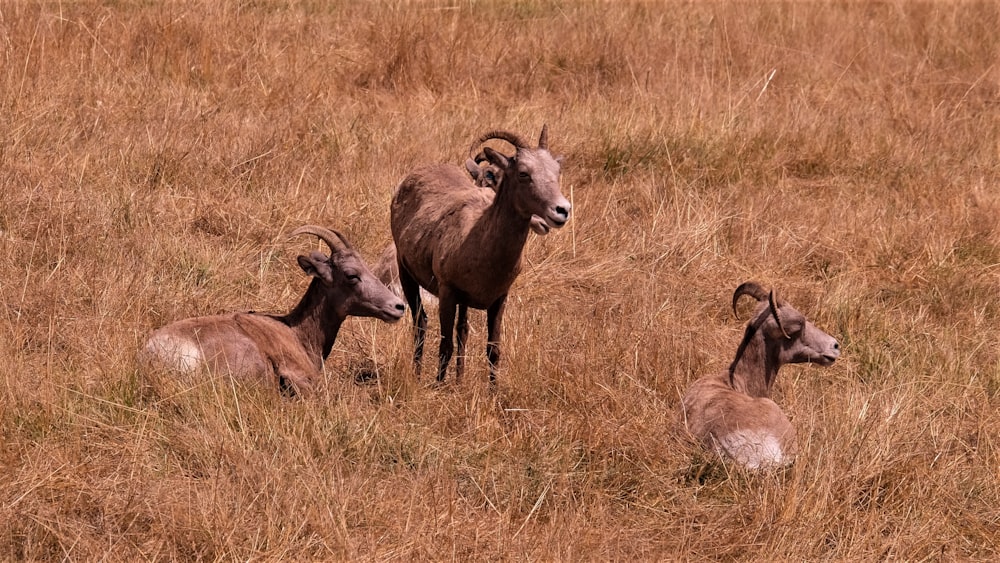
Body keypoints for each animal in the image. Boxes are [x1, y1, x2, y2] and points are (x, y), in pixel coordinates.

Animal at [390, 126, 572, 384]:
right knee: (420, 323)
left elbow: (492, 350)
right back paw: (417, 376)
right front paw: (438, 385)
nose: (562, 210)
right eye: (523, 173)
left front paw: (492, 391)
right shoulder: (447, 293)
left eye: (557, 170)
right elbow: (445, 346)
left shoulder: (498, 299)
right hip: (406, 274)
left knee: (461, 332)